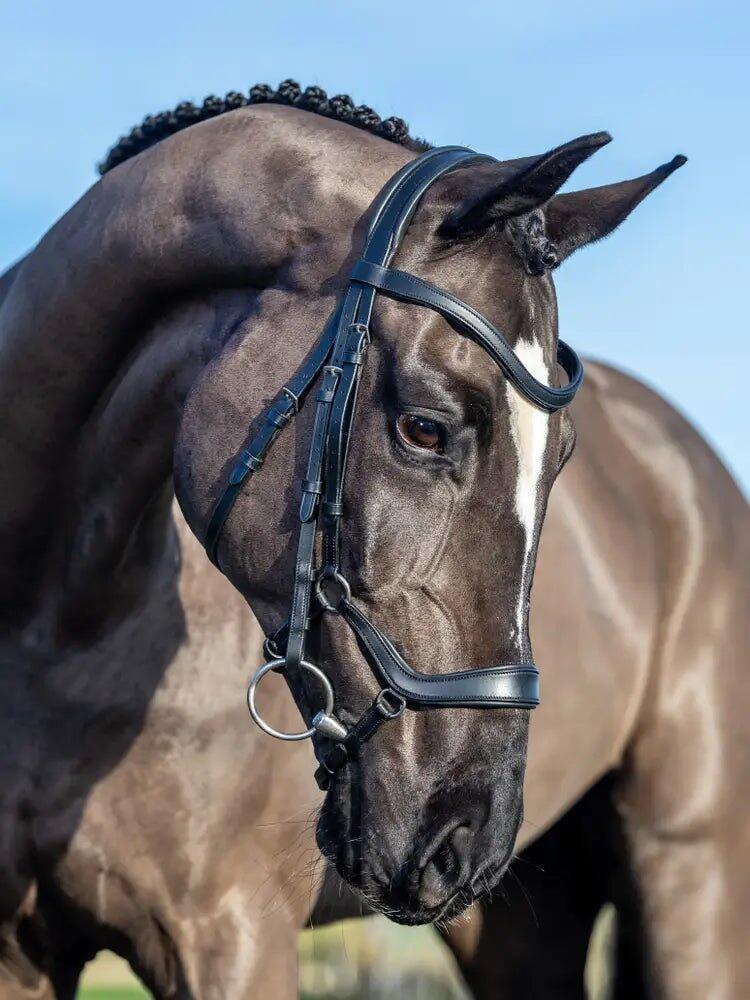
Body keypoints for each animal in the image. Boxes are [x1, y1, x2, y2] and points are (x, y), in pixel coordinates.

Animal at [0, 81, 747, 999]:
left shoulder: (233, 936)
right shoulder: (20, 952)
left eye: (564, 457)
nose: (466, 835)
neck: (59, 629)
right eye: (425, 428)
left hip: (692, 872)